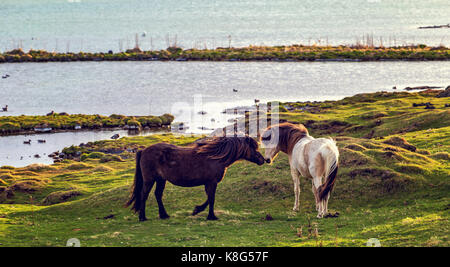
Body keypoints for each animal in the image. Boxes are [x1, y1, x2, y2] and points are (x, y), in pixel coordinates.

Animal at [125, 136, 266, 222]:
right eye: (253, 148)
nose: (263, 160)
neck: (216, 157)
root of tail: (143, 150)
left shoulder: (209, 183)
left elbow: (209, 198)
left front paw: (198, 211)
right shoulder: (211, 182)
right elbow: (211, 199)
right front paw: (210, 216)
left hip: (161, 179)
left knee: (158, 195)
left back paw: (164, 215)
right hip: (150, 180)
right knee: (144, 195)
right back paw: (143, 217)